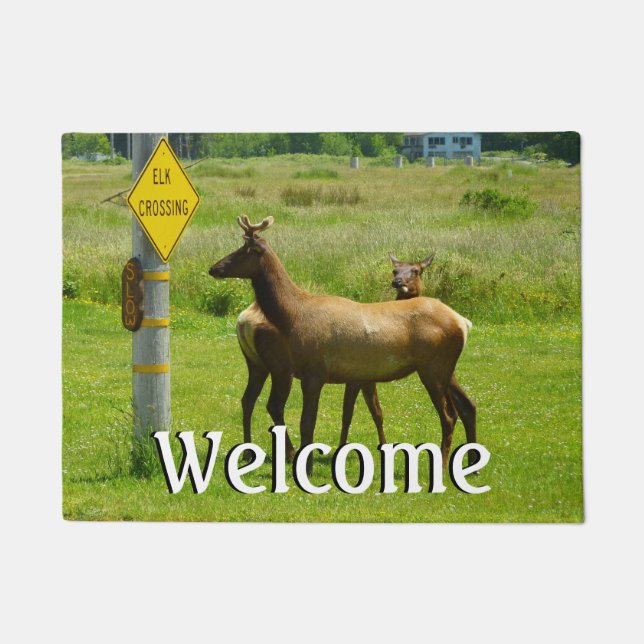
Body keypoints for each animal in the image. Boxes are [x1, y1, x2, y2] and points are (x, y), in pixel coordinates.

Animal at [210, 216, 476, 474]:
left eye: (243, 250)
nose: (214, 268)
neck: (293, 316)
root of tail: (463, 322)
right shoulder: (333, 375)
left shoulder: (315, 371)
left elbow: (308, 423)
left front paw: (307, 469)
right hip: (443, 369)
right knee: (465, 407)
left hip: (434, 367)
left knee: (449, 415)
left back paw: (443, 466)